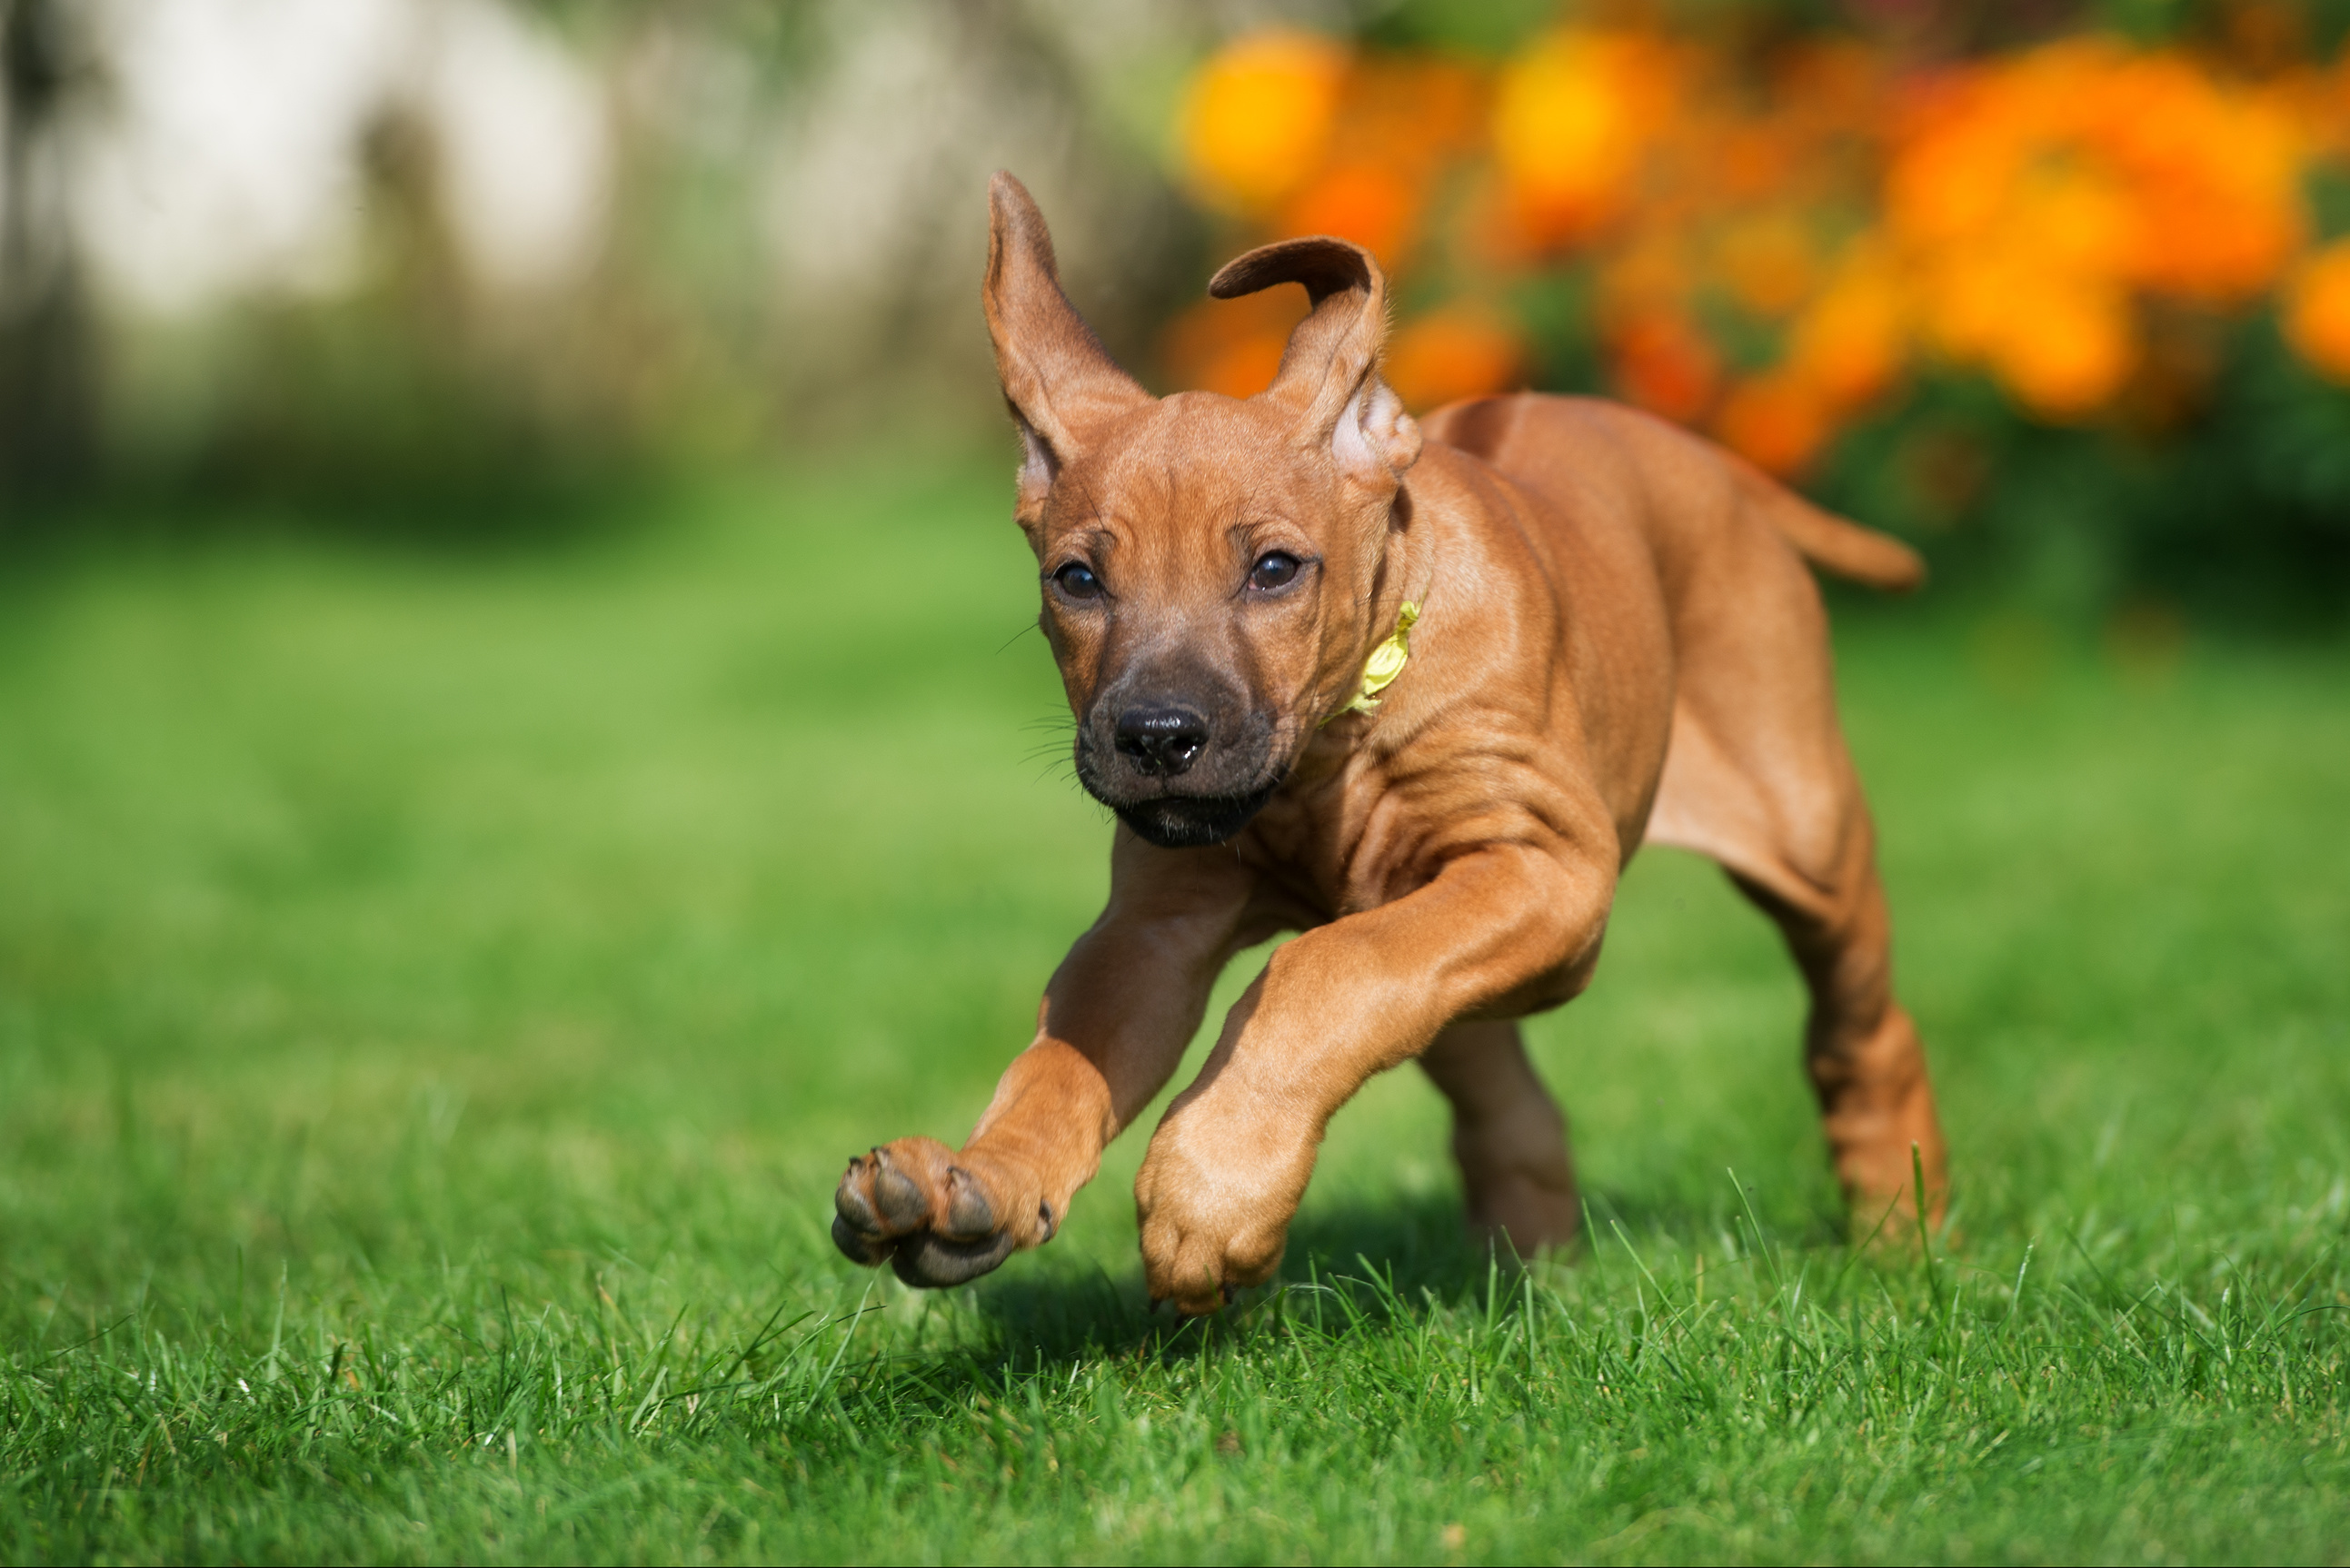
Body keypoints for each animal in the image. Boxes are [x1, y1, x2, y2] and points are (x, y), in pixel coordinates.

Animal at [827, 171, 1946, 1316]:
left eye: (1276, 569)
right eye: (1077, 580)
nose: (1157, 738)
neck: (1331, 754)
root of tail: (1697, 456)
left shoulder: (1545, 866)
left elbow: (1325, 965)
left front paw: (1211, 1187)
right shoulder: (1157, 922)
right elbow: (1065, 1059)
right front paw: (981, 1182)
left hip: (1808, 836)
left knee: (1862, 1035)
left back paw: (1902, 1236)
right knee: (1505, 1090)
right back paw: (1532, 1270)